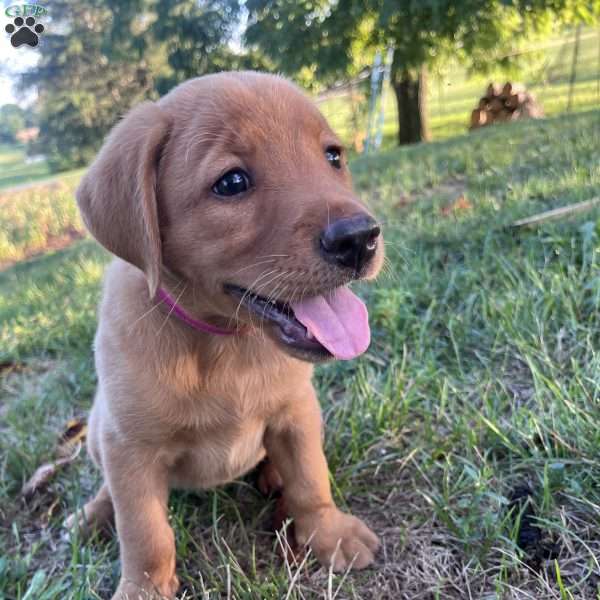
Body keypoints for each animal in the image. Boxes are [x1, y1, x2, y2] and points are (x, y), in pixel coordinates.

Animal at [71, 71, 384, 600]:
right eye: (232, 182)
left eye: (333, 156)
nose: (359, 238)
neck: (225, 341)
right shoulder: (129, 447)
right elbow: (145, 531)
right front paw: (143, 588)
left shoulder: (298, 411)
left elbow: (310, 478)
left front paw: (329, 533)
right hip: (97, 430)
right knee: (108, 491)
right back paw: (93, 513)